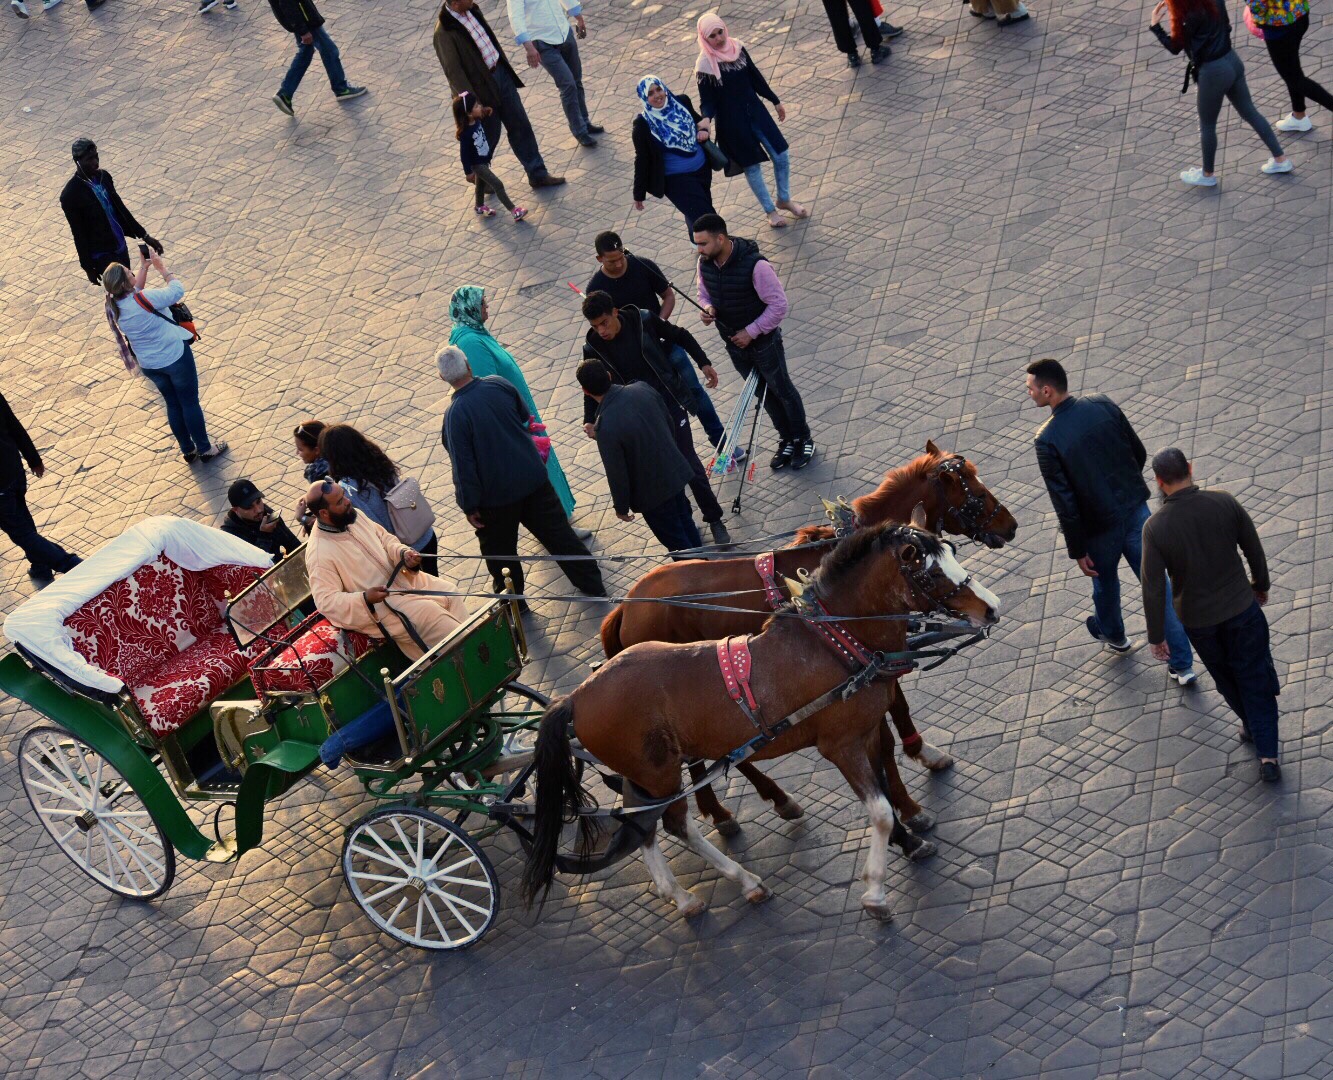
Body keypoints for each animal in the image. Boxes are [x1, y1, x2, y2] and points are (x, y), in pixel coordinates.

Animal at [519, 520, 1002, 917]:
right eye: (931, 572)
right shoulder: (840, 746)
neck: (838, 643)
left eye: (953, 552)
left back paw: (697, 892)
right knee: (669, 823)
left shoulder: (865, 733)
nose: (992, 608)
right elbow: (880, 812)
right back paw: (725, 882)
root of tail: (577, 695)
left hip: (648, 777)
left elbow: (884, 784)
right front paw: (875, 892)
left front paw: (910, 838)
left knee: (649, 827)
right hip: (657, 775)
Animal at [599, 437, 1013, 832]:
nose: (1010, 526)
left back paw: (766, 801)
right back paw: (725, 811)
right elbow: (887, 728)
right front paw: (909, 800)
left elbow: (896, 711)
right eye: (977, 494)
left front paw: (923, 757)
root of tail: (625, 606)